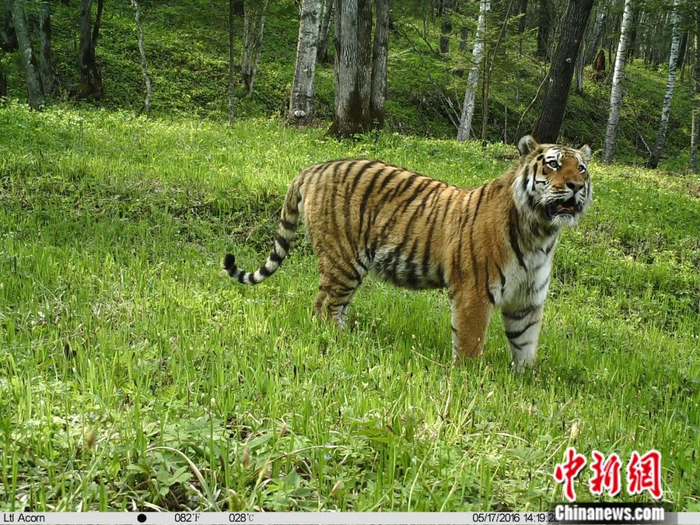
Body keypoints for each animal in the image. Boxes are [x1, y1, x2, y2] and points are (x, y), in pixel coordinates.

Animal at [224, 135, 592, 367]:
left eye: (581, 168)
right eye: (553, 165)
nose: (576, 186)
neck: (540, 234)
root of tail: (314, 168)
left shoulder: (527, 300)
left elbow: (525, 344)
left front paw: (525, 380)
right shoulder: (474, 292)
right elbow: (470, 342)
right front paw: (469, 378)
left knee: (332, 305)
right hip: (343, 260)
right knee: (324, 305)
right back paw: (346, 341)